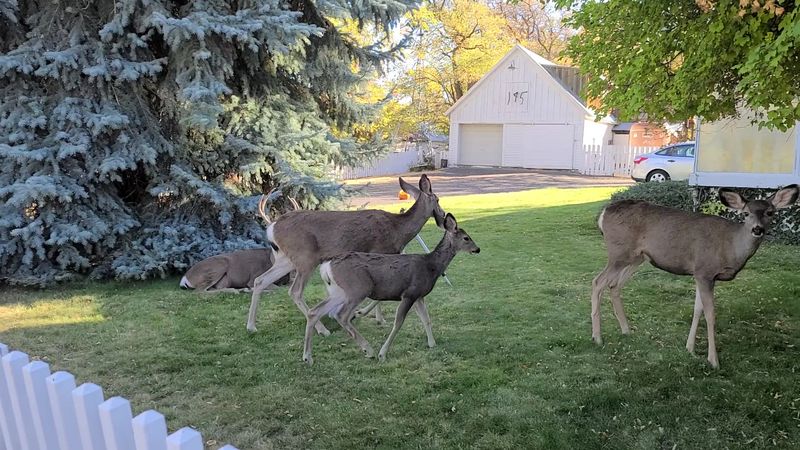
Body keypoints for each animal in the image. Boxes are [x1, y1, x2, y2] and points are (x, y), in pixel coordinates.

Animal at [246, 174, 447, 338]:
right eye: (437, 199)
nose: (444, 216)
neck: (398, 230)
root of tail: (272, 227)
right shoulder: (379, 252)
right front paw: (367, 315)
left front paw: (377, 318)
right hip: (305, 257)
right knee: (294, 291)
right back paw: (321, 329)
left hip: (285, 259)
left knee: (260, 280)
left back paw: (251, 326)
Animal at [302, 213, 480, 365]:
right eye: (466, 238)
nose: (477, 249)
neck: (431, 267)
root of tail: (326, 266)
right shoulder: (409, 293)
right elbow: (398, 323)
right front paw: (383, 353)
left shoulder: (419, 295)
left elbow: (426, 319)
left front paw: (432, 344)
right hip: (358, 288)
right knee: (341, 315)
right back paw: (369, 350)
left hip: (338, 291)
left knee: (315, 311)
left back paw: (307, 357)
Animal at [591, 184, 799, 368]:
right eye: (746, 213)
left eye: (770, 212)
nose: (757, 229)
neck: (731, 248)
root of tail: (603, 214)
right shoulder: (705, 271)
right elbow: (710, 314)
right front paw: (713, 360)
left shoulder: (699, 274)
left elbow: (697, 309)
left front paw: (689, 348)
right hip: (619, 253)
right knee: (597, 282)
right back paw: (597, 337)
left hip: (636, 258)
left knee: (614, 285)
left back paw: (626, 330)